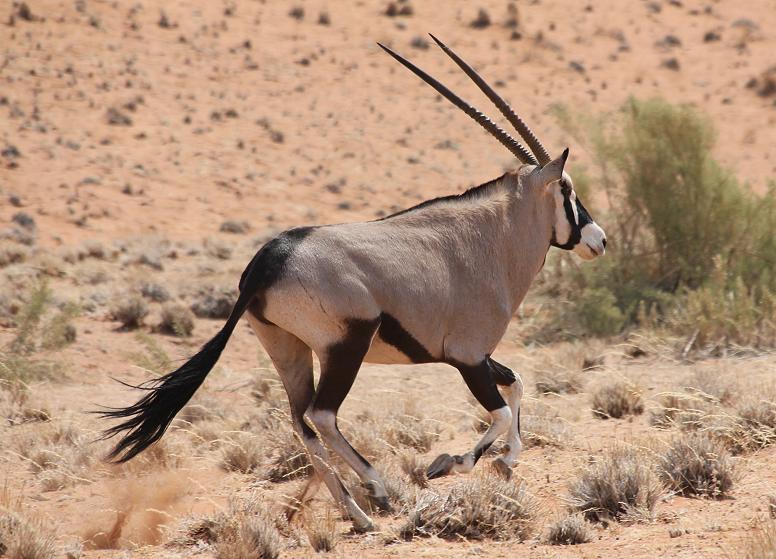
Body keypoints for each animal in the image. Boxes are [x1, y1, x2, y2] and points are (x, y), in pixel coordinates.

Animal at [100, 36, 608, 532]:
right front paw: (448, 463)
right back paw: (376, 488)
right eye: (568, 191)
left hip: (289, 349)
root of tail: (268, 261)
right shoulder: (467, 356)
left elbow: (517, 384)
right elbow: (500, 411)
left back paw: (357, 514)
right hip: (346, 346)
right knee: (322, 415)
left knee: (301, 422)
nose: (598, 240)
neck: (492, 236)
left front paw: (507, 461)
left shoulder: (475, 356)